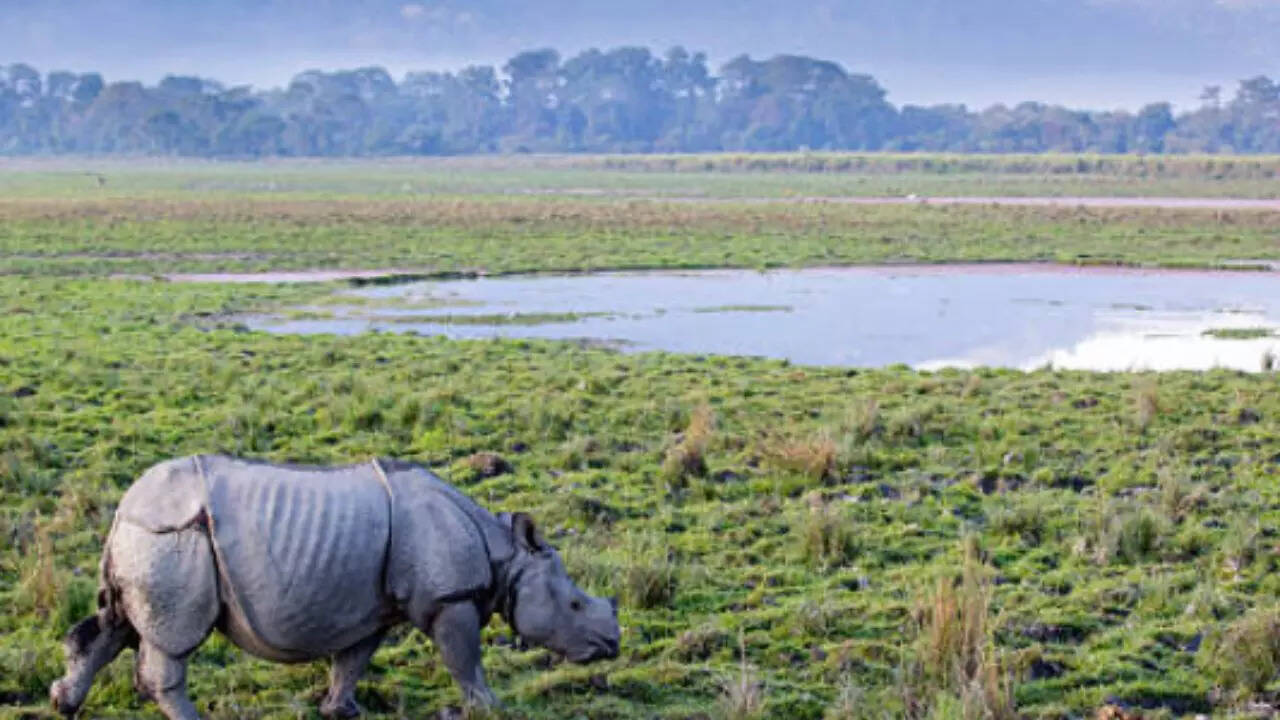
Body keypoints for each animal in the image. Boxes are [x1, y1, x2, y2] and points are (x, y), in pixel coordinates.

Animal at [49, 454, 620, 719]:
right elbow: (464, 659)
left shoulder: (374, 609)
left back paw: (64, 702)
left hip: (148, 537)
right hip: (175, 537)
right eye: (575, 604)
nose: (613, 644)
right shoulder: (449, 600)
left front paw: (341, 710)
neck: (505, 555)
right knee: (171, 641)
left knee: (115, 625)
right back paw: (189, 718)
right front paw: (490, 707)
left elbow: (353, 660)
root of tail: (123, 507)